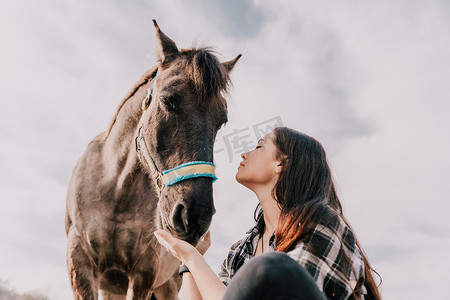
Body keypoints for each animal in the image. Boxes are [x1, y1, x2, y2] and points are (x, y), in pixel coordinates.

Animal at [65, 19, 241, 298]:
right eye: (167, 100)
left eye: (221, 119)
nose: (195, 216)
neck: (115, 190)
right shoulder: (79, 262)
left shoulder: (144, 271)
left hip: (166, 287)